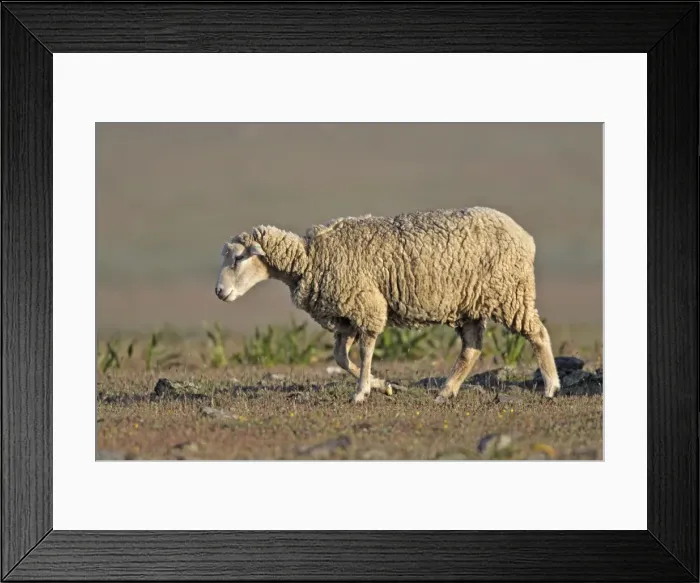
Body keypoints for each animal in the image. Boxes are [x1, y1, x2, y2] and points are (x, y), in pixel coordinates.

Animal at [215, 206, 561, 403]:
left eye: (239, 258)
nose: (219, 292)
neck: (309, 258)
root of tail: (525, 236)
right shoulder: (345, 318)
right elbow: (341, 358)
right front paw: (383, 386)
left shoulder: (366, 306)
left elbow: (366, 351)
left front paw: (361, 392)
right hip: (471, 305)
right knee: (471, 349)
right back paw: (445, 392)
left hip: (510, 292)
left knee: (538, 334)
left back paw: (551, 386)